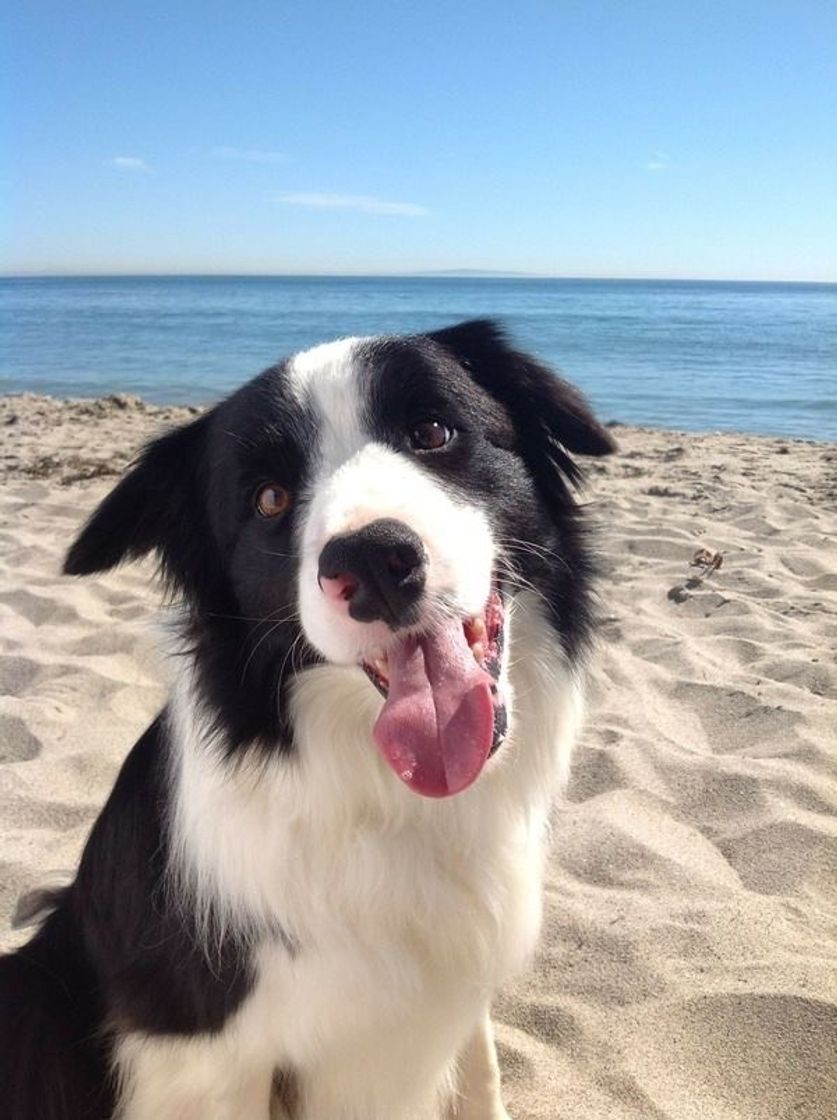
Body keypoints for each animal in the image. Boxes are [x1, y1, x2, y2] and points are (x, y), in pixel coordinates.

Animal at [0, 320, 614, 1115]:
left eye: (433, 430)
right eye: (268, 498)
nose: (375, 560)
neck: (385, 802)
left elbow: (481, 1070)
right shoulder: (206, 1056)